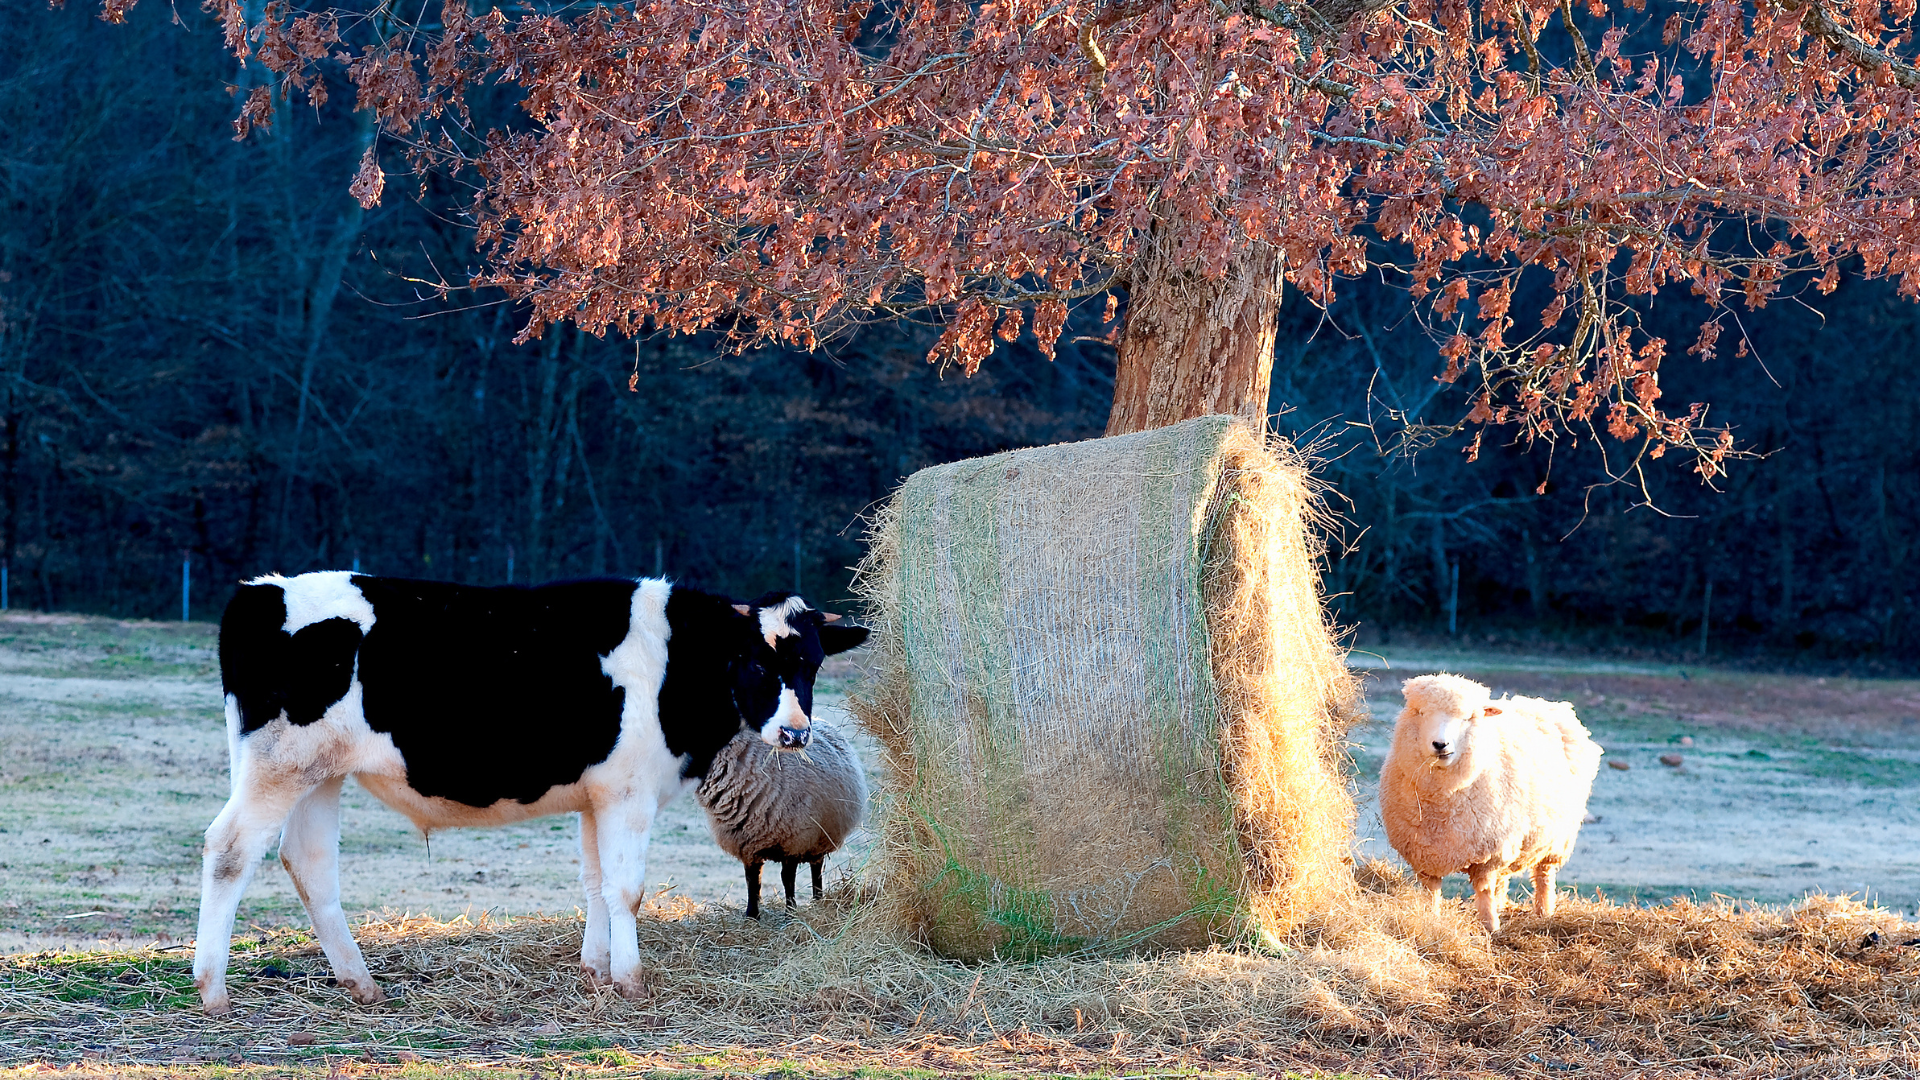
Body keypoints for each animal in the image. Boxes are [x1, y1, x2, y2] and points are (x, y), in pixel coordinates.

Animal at [698, 719, 868, 918]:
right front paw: (752, 914)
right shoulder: (747, 844)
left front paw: (790, 913)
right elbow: (752, 879)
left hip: (819, 837)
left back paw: (818, 900)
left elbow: (788, 878)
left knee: (816, 868)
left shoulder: (794, 840)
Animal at [1378, 673, 1603, 932]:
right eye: (1421, 712)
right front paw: (1432, 918)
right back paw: (1504, 904)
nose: (1440, 745)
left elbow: (1483, 889)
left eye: (1467, 717)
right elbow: (1431, 892)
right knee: (1504, 877)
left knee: (1544, 874)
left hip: (1557, 836)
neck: (1442, 801)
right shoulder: (1424, 854)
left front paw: (1489, 925)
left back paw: (1543, 911)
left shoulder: (1487, 852)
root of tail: (1548, 704)